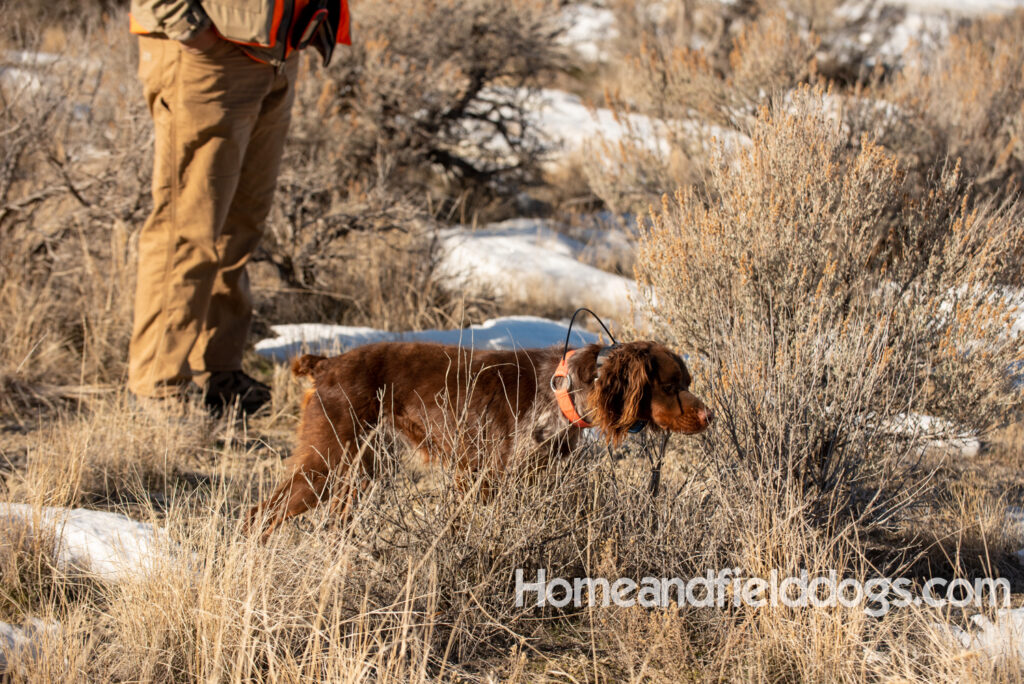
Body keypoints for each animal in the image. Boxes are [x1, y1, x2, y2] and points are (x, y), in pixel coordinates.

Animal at [247, 339, 712, 536]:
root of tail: (326, 365)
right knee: (259, 513)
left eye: (686, 382)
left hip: (358, 469)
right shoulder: (484, 476)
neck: (564, 389)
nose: (709, 415)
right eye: (670, 385)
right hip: (325, 463)